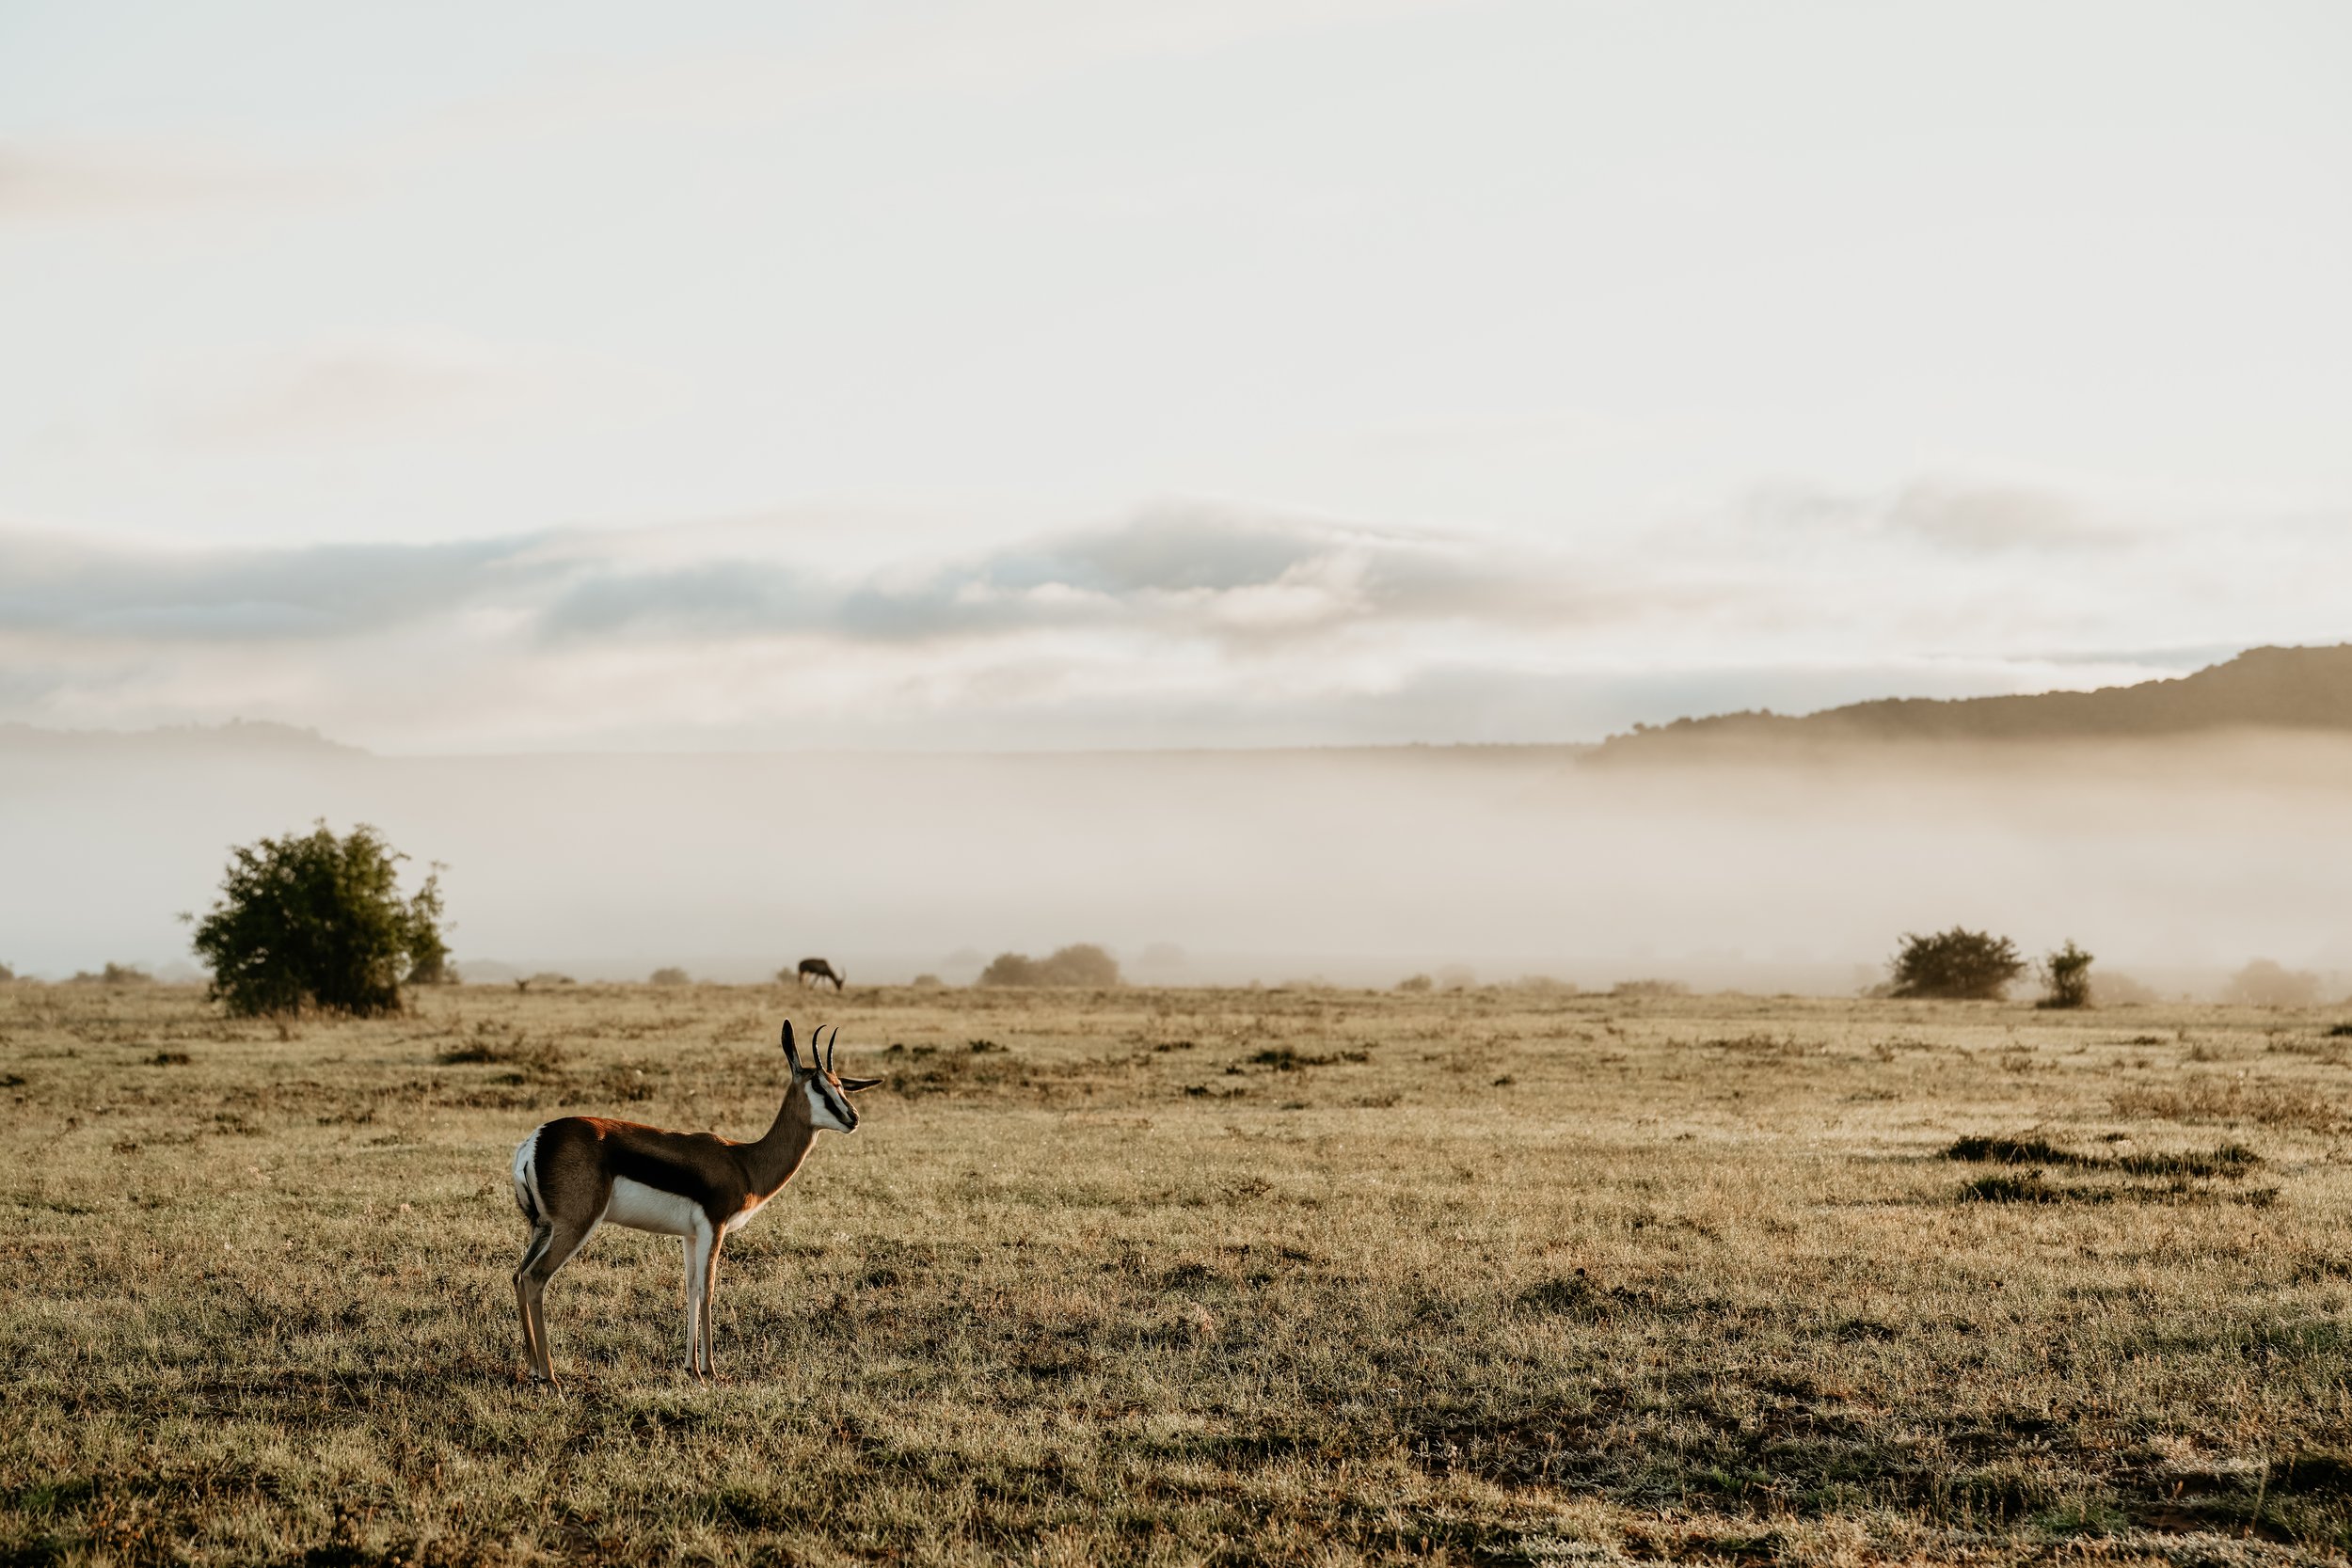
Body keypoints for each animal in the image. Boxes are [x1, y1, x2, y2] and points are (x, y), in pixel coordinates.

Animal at [507, 1020, 878, 1387]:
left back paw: (532, 1368)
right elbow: (707, 1290)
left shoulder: (690, 1235)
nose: (853, 1118)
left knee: (518, 1276)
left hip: (543, 1227)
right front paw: (711, 1370)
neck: (744, 1162)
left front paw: (691, 1368)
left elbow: (689, 1289)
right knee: (535, 1278)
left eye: (841, 1085)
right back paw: (550, 1376)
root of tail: (533, 1142)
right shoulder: (714, 1227)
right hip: (575, 1225)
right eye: (818, 1085)